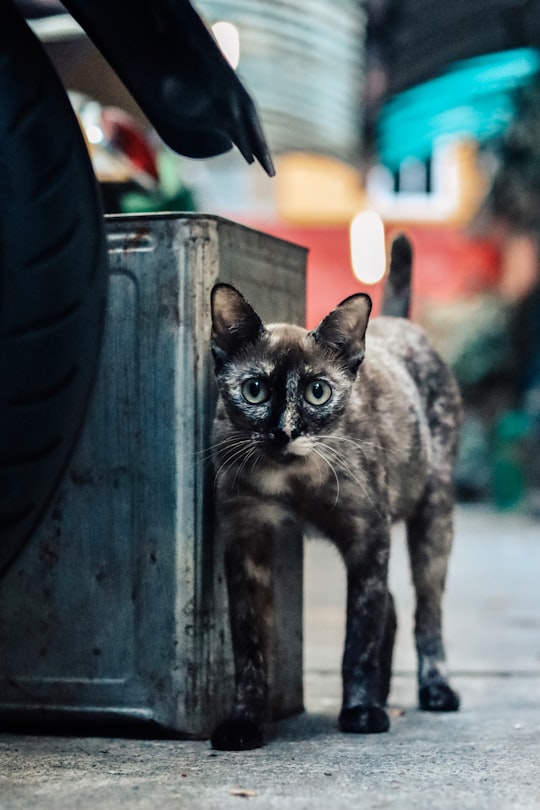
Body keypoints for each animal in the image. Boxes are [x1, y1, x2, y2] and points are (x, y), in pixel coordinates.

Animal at [207, 234, 460, 752]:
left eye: (317, 392)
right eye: (255, 389)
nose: (284, 432)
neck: (292, 479)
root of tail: (397, 322)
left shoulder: (367, 535)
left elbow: (358, 634)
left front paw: (360, 710)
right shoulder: (246, 539)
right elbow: (249, 644)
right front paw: (245, 721)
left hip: (434, 517)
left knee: (426, 612)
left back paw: (434, 688)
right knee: (393, 607)